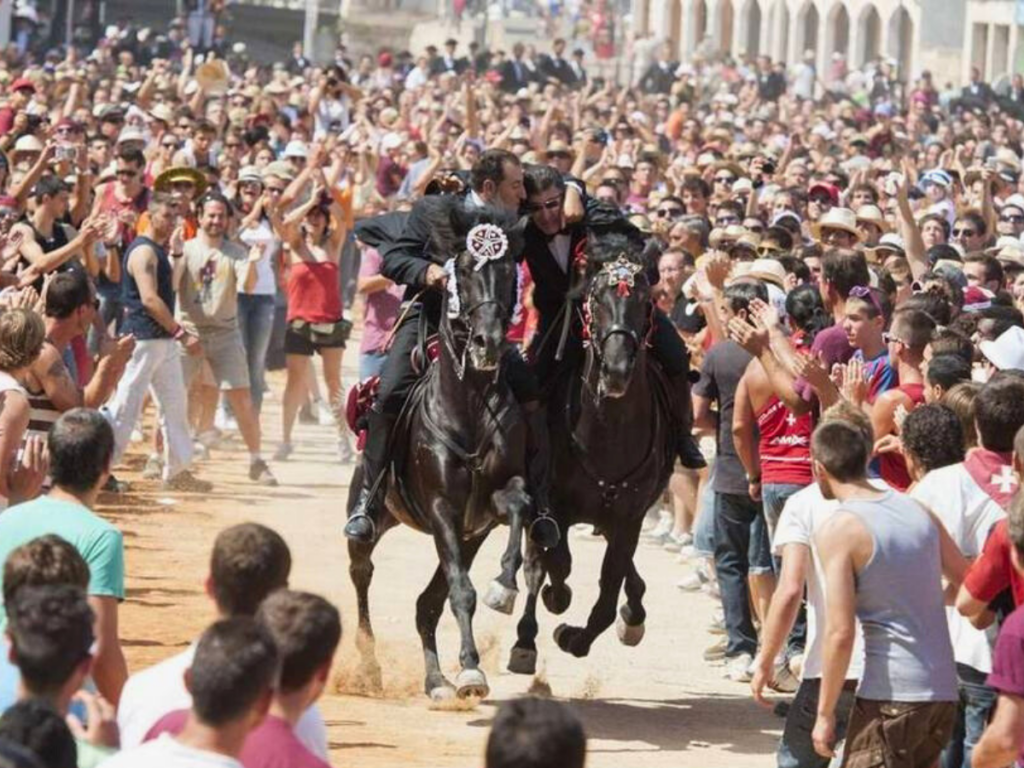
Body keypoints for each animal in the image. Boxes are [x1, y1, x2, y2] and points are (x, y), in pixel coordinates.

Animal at [348, 202, 532, 704]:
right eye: (463, 271)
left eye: (509, 273)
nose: (489, 342)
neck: (468, 406)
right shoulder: (442, 508)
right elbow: (461, 592)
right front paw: (471, 671)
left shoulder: (486, 509)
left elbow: (518, 508)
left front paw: (503, 588)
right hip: (374, 521)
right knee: (363, 570)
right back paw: (370, 668)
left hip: (469, 537)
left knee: (425, 604)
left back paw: (436, 681)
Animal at [505, 231, 679, 675]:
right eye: (595, 298)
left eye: (645, 299)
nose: (616, 370)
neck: (609, 430)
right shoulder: (555, 507)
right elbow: (556, 561)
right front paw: (555, 600)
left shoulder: (630, 514)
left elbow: (609, 585)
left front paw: (576, 636)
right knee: (541, 561)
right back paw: (526, 639)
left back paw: (631, 613)